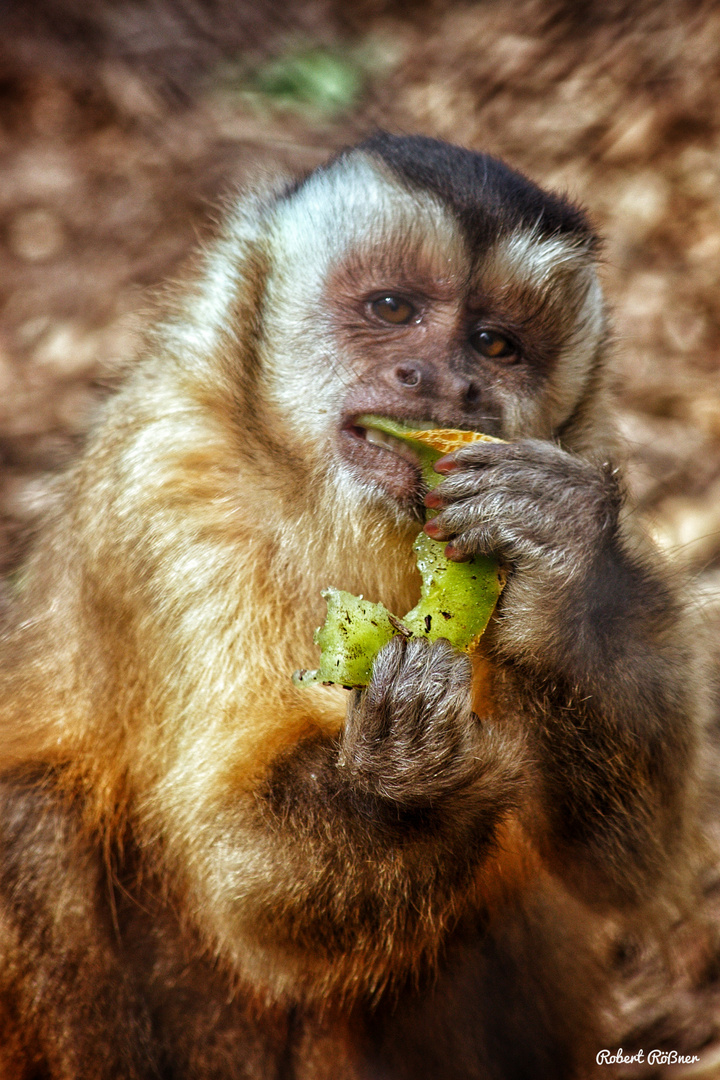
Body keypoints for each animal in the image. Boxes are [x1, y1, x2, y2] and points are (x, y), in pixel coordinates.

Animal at [0, 135, 708, 1080]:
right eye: (391, 309)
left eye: (495, 344)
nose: (444, 382)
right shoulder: (168, 483)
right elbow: (241, 878)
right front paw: (404, 776)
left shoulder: (579, 451)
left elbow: (621, 862)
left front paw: (560, 559)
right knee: (30, 822)